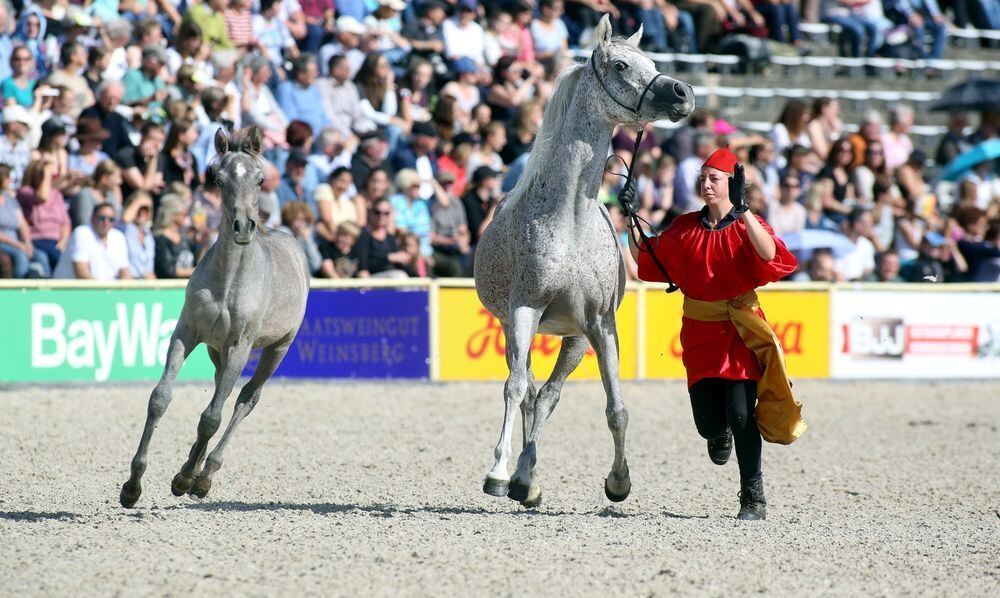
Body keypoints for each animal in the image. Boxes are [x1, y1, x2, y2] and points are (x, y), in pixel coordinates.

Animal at [120, 127, 308, 510]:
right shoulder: (187, 334)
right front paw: (133, 486)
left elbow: (211, 417)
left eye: (261, 178)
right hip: (216, 351)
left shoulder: (240, 346)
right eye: (218, 179)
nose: (244, 227)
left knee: (245, 400)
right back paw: (190, 469)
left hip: (276, 349)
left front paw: (189, 480)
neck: (228, 280)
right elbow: (160, 399)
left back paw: (202, 475)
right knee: (224, 389)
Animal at [476, 16, 696, 508]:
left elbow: (616, 407)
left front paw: (619, 481)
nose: (682, 93)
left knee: (547, 396)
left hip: (574, 339)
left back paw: (528, 480)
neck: (569, 223)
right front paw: (497, 472)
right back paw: (517, 476)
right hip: (513, 327)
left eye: (650, 60)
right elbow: (514, 387)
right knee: (527, 390)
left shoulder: (600, 324)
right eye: (620, 65)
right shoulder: (524, 310)